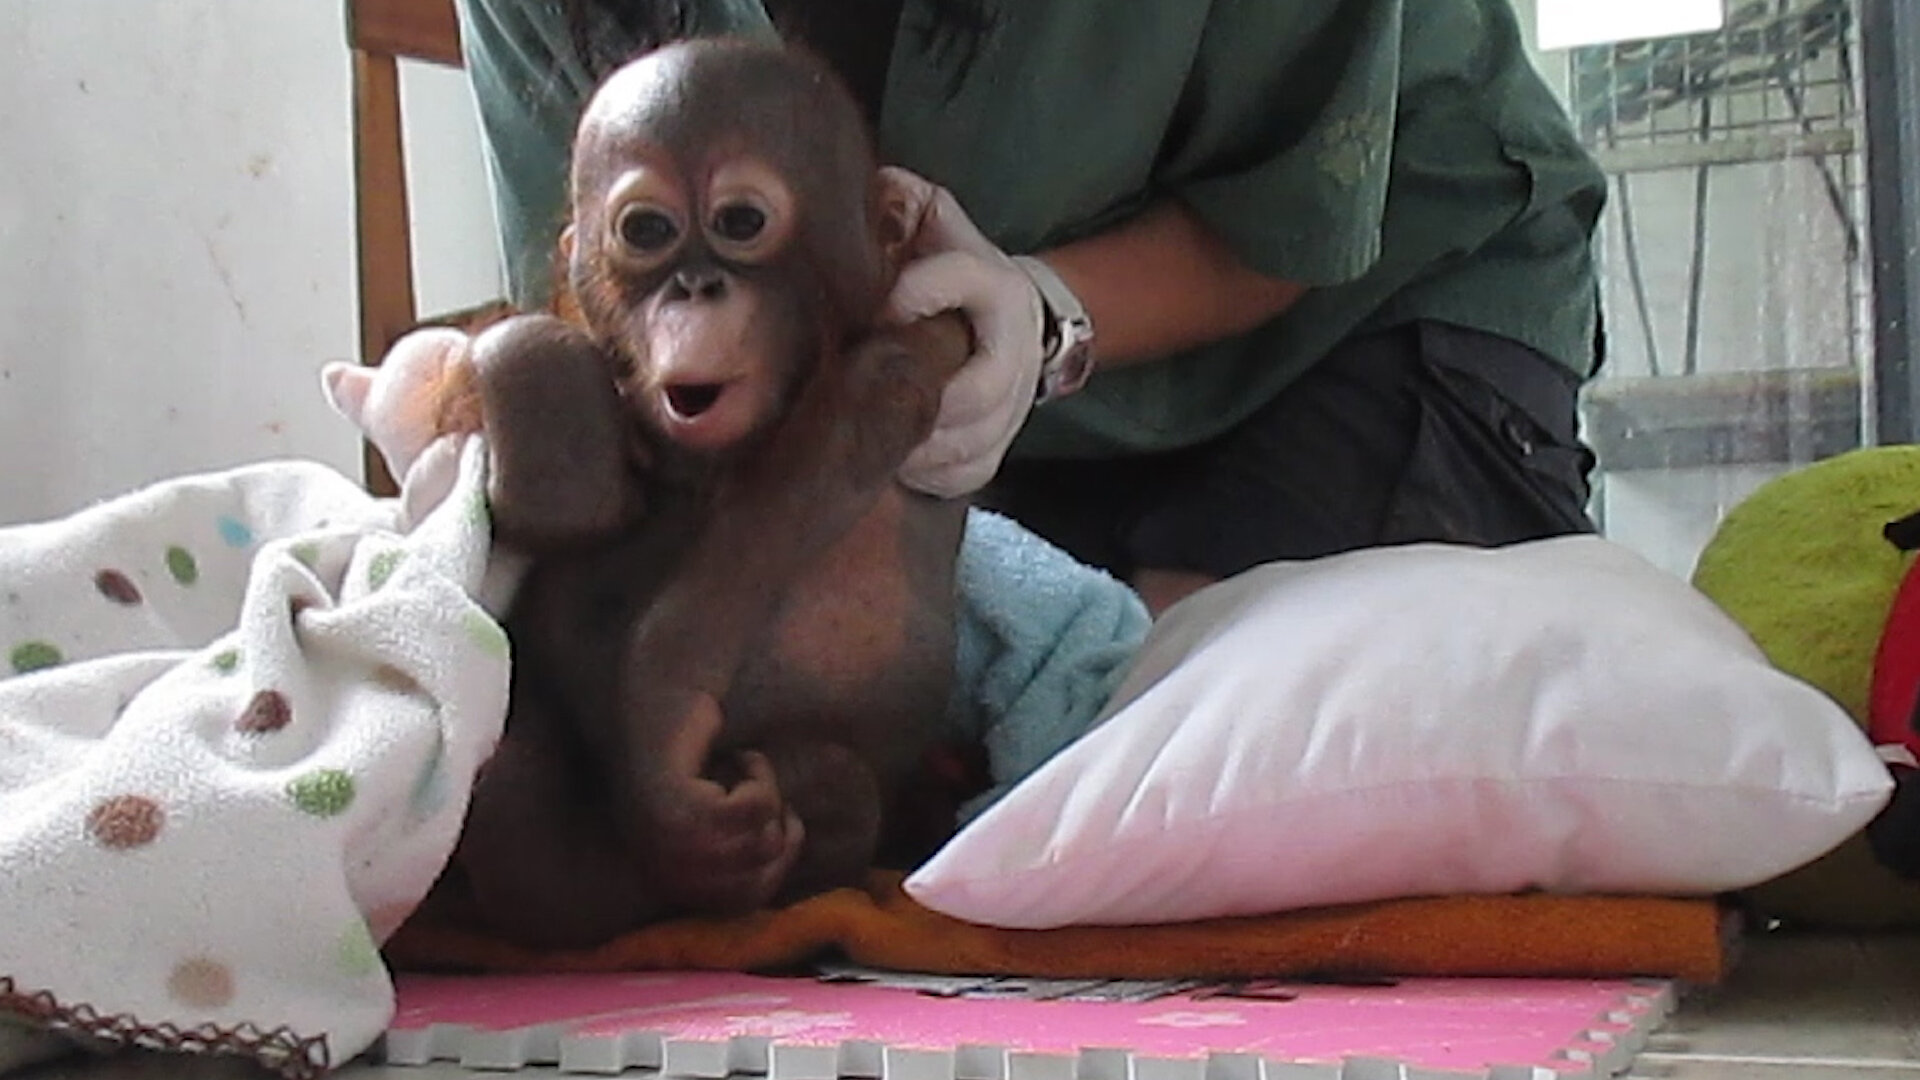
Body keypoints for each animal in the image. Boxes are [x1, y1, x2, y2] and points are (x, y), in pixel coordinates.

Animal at [421, 37, 979, 950]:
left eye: (740, 222)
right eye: (647, 230)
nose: (694, 287)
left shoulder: (911, 353)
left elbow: (776, 514)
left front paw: (667, 758)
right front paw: (550, 409)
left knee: (835, 784)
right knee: (507, 775)